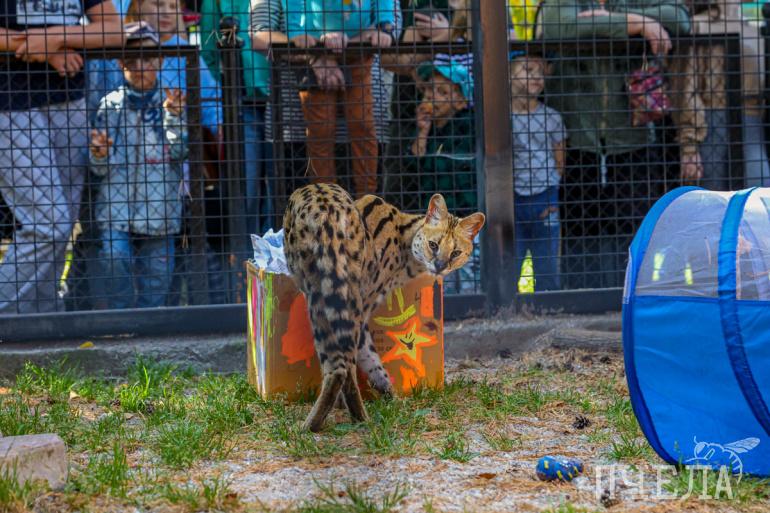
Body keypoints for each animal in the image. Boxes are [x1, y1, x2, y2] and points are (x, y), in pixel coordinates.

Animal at [283, 183, 485, 432]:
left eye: (455, 253)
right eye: (433, 245)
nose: (439, 266)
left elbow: (369, 359)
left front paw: (386, 394)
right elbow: (369, 357)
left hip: (323, 294)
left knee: (340, 365)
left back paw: (318, 424)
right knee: (343, 363)